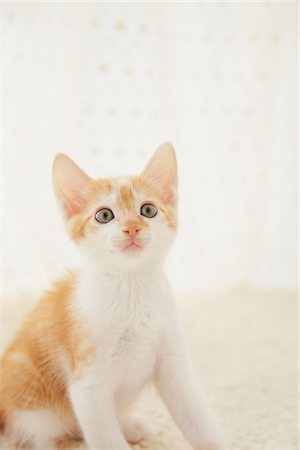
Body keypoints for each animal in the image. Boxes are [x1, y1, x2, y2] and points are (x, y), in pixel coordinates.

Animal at [0, 143, 225, 450]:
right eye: (104, 215)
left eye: (148, 210)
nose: (132, 227)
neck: (131, 288)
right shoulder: (87, 385)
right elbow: (105, 436)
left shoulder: (173, 363)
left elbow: (196, 415)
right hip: (30, 411)